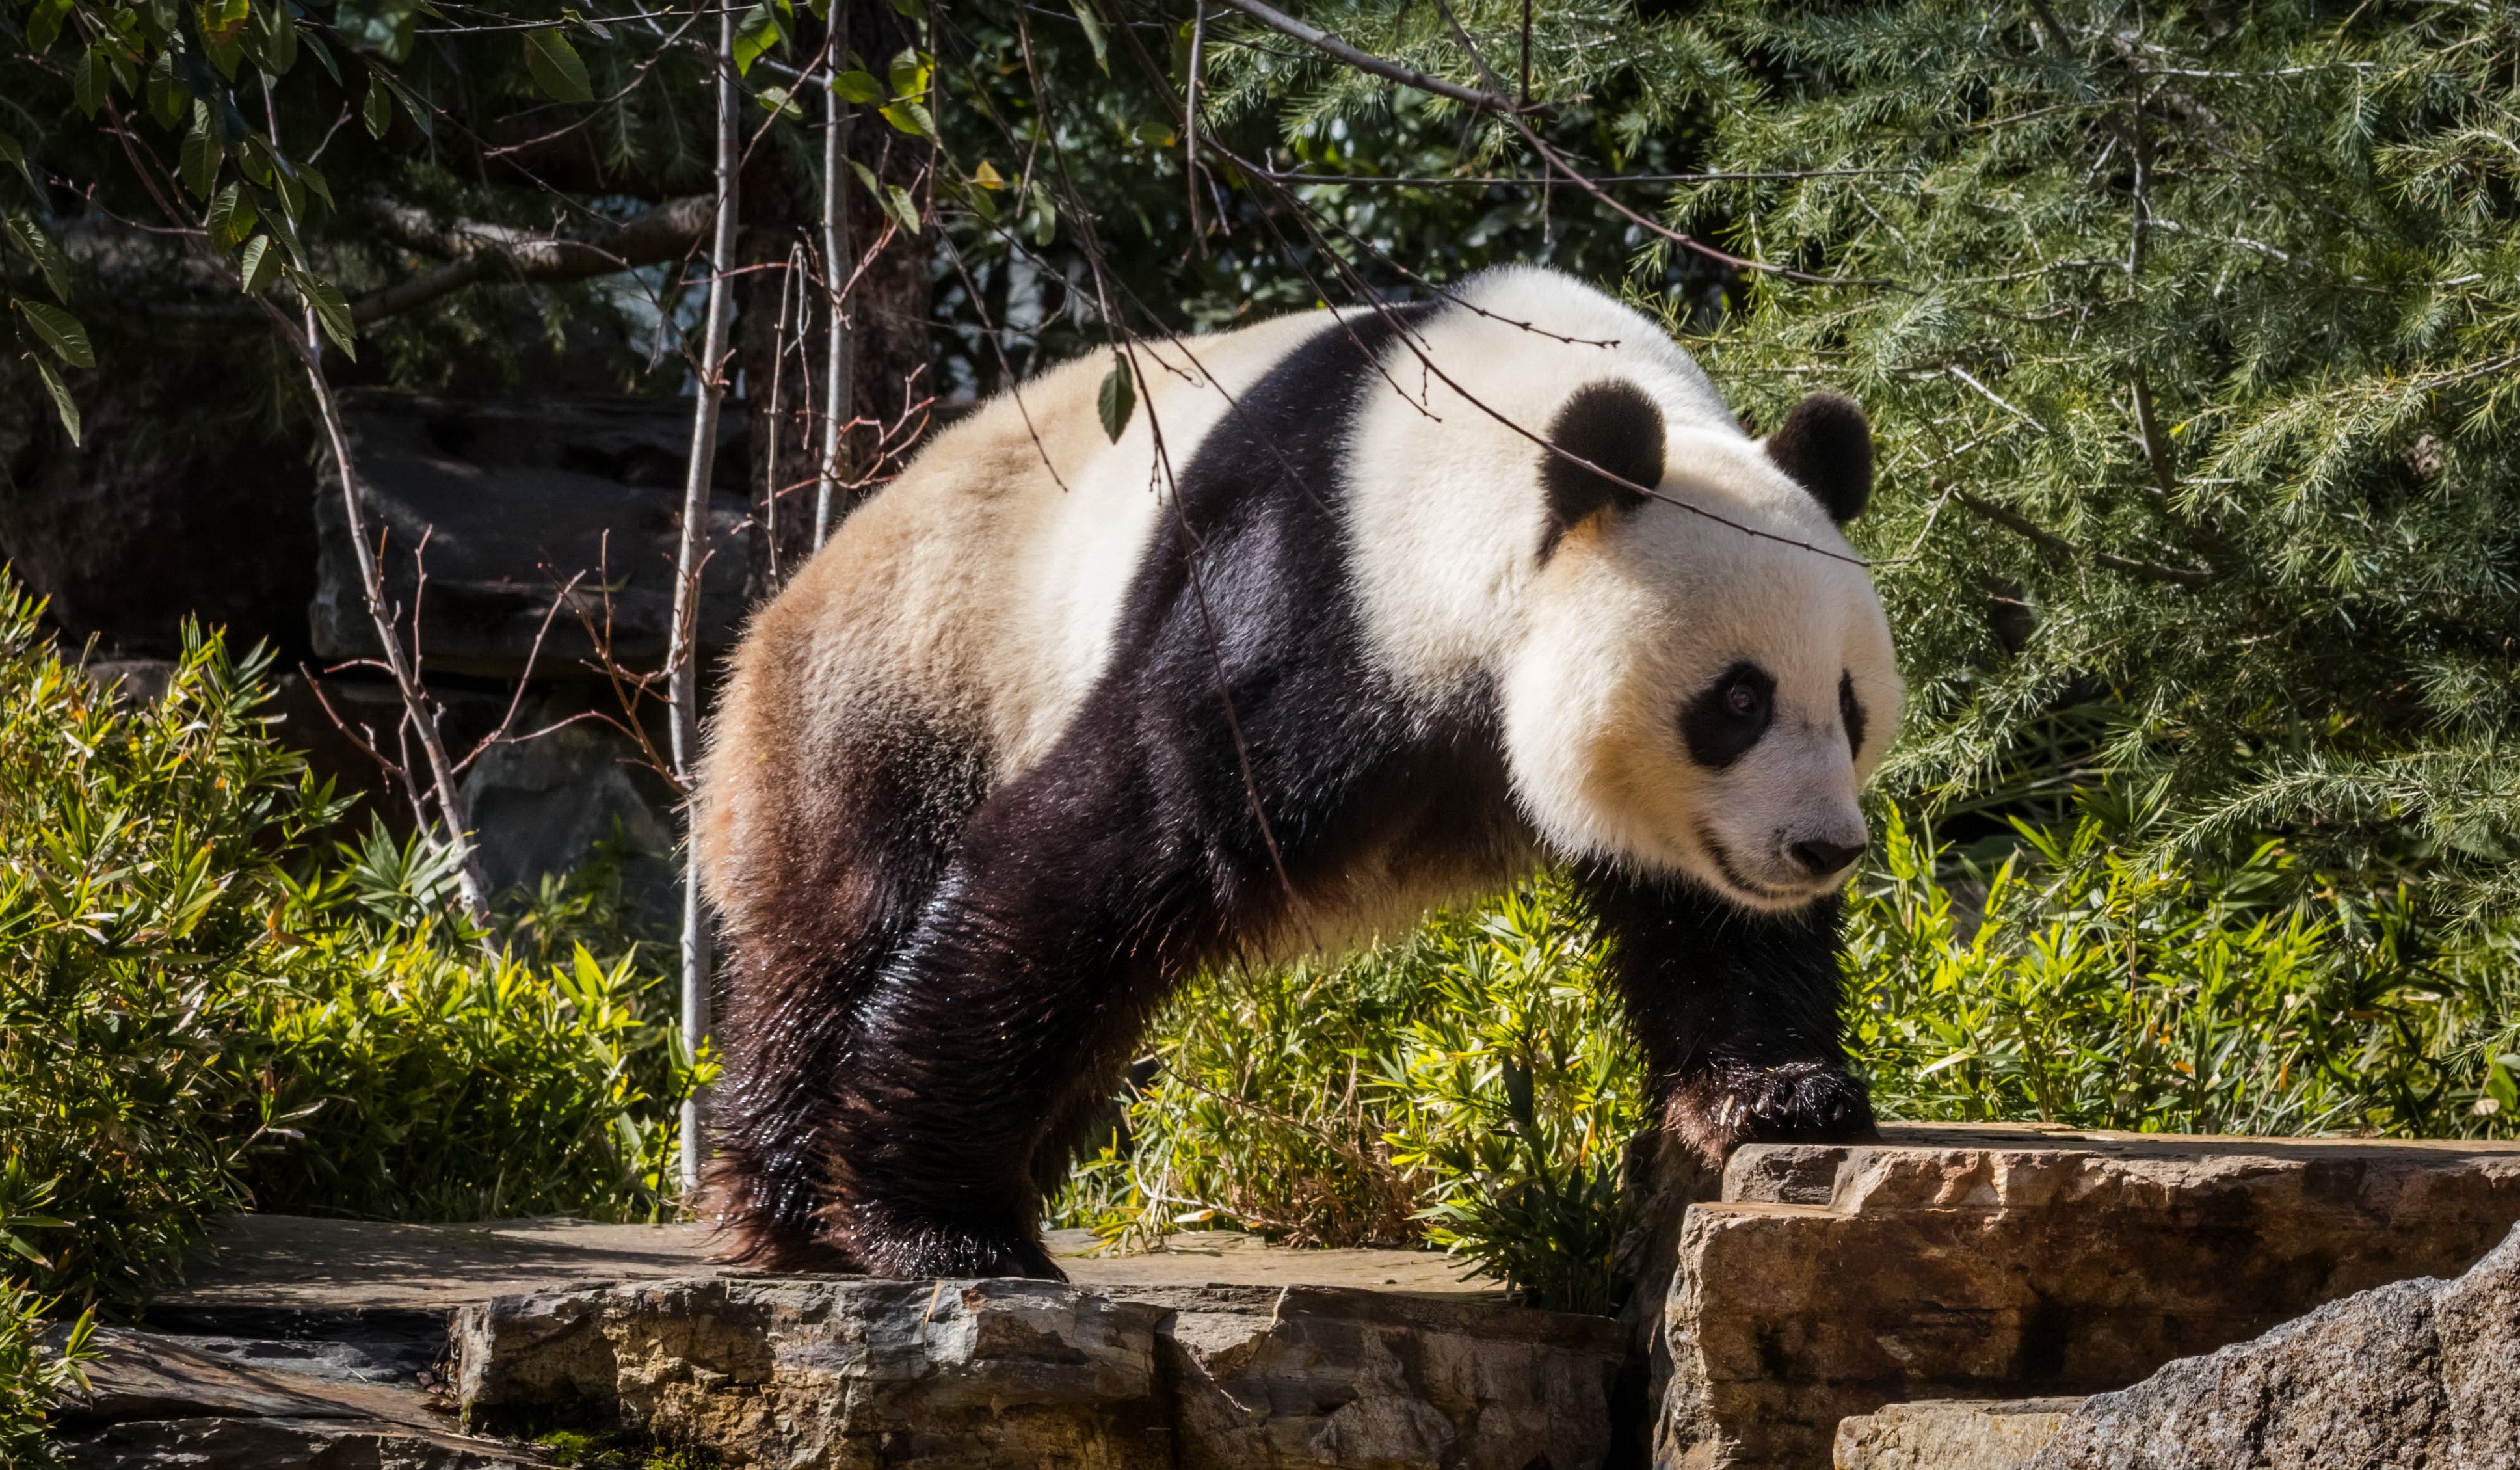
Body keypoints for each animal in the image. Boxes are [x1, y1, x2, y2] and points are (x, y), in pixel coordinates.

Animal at [696, 265, 1901, 1279]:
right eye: (1735, 703)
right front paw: (939, 1225)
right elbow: (1094, 853)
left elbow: (1706, 913)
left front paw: (1779, 1092)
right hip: (907, 679)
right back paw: (792, 1207)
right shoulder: (1313, 590)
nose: (1821, 848)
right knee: (840, 927)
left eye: (1848, 704)